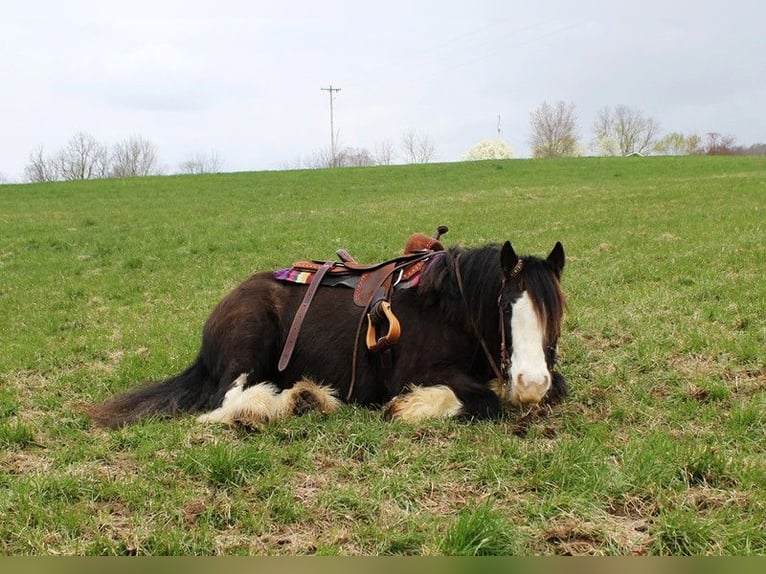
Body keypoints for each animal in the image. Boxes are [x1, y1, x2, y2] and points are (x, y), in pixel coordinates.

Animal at [88, 233, 568, 428]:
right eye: (504, 306)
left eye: (558, 311)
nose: (530, 383)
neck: (453, 310)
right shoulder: (415, 372)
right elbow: (485, 400)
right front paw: (410, 407)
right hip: (250, 342)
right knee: (224, 403)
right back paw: (297, 400)